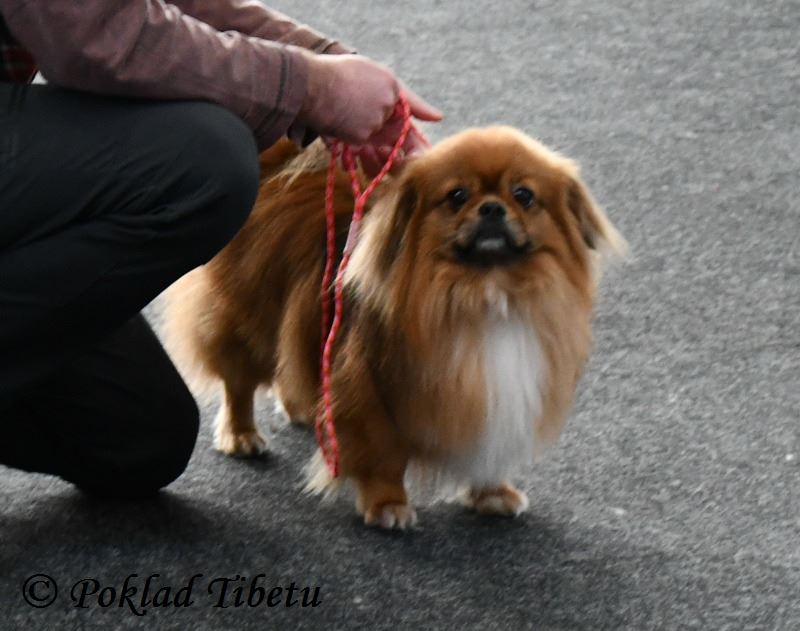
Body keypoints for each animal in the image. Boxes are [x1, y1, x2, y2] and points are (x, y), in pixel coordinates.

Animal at [163, 126, 624, 529]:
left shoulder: (500, 396)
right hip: (246, 323)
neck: (484, 292)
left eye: (524, 195)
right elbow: (383, 456)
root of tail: (281, 163)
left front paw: (492, 493)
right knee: (239, 383)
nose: (492, 207)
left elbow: (488, 448)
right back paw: (242, 435)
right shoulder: (373, 394)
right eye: (457, 196)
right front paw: (387, 505)